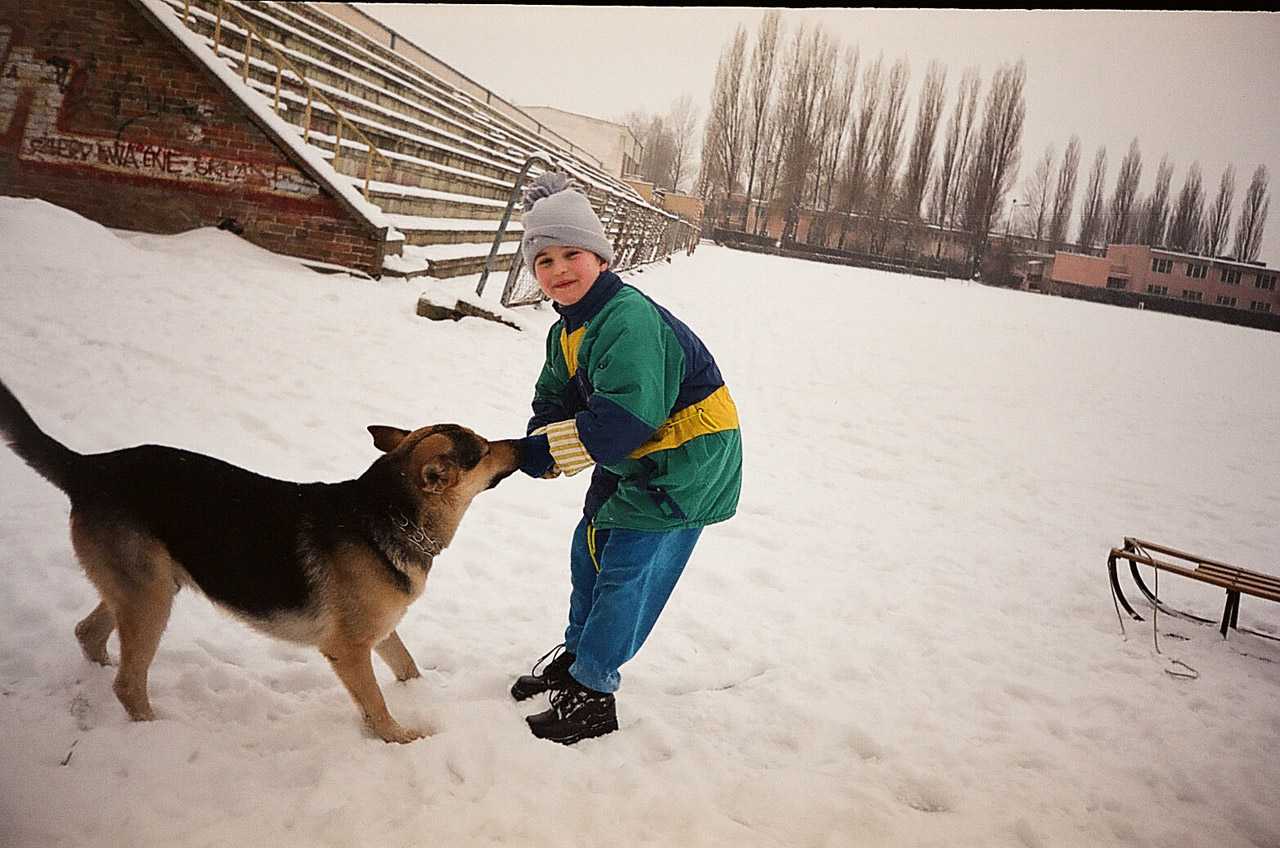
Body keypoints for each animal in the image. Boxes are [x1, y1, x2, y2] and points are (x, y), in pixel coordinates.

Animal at [1, 379, 519, 742]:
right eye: (483, 449)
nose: (520, 441)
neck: (391, 513)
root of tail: (89, 467)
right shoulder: (347, 648)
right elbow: (376, 706)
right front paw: (404, 739)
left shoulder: (380, 629)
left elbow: (406, 663)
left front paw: (423, 696)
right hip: (150, 599)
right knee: (127, 683)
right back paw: (157, 730)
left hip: (148, 587)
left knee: (89, 634)